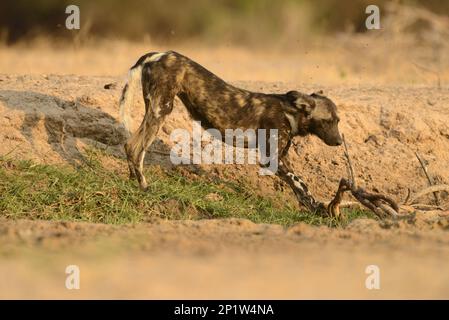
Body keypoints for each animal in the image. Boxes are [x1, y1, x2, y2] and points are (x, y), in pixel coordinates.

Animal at [119, 50, 344, 215]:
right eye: (328, 121)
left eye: (338, 121)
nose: (339, 141)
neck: (291, 113)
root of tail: (157, 54)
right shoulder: (271, 160)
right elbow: (301, 184)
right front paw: (320, 211)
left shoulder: (282, 158)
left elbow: (300, 188)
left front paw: (314, 209)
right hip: (162, 110)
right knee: (135, 147)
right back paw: (144, 187)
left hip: (154, 109)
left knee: (129, 145)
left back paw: (132, 181)